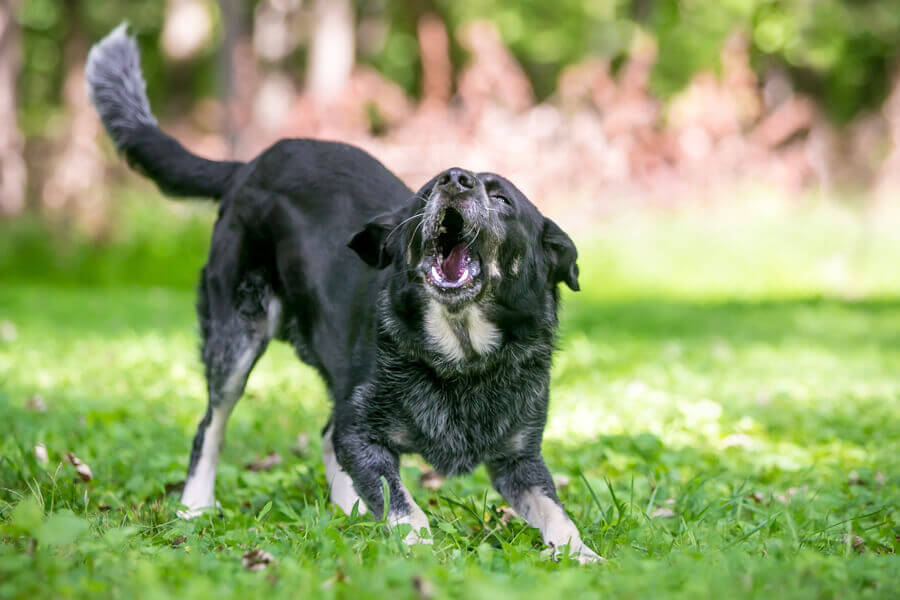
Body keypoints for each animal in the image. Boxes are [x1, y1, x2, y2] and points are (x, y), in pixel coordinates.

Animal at [88, 25, 600, 564]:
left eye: (501, 197)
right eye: (424, 194)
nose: (454, 179)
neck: (462, 357)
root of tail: (247, 166)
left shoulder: (520, 458)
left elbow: (557, 513)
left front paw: (585, 556)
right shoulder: (364, 433)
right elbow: (402, 501)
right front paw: (417, 545)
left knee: (323, 435)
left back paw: (347, 512)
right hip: (236, 338)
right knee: (212, 426)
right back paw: (194, 508)